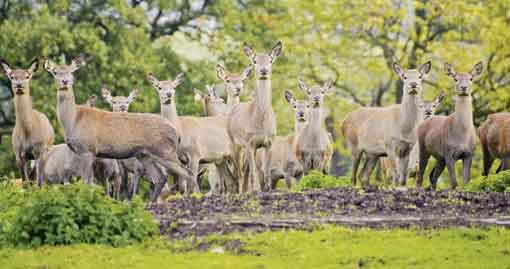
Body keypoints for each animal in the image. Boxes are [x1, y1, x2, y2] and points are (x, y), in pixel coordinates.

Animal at [42, 55, 191, 201]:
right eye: (55, 72)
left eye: (71, 71)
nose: (65, 81)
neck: (73, 119)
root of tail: (176, 132)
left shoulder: (88, 149)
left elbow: (86, 184)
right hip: (145, 155)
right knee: (160, 178)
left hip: (165, 151)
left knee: (186, 173)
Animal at [228, 40, 282, 192]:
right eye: (255, 60)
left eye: (270, 60)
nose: (264, 71)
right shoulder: (249, 142)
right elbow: (253, 173)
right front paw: (255, 191)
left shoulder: (270, 142)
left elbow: (266, 170)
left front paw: (268, 189)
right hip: (233, 143)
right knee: (238, 171)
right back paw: (240, 191)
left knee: (245, 170)